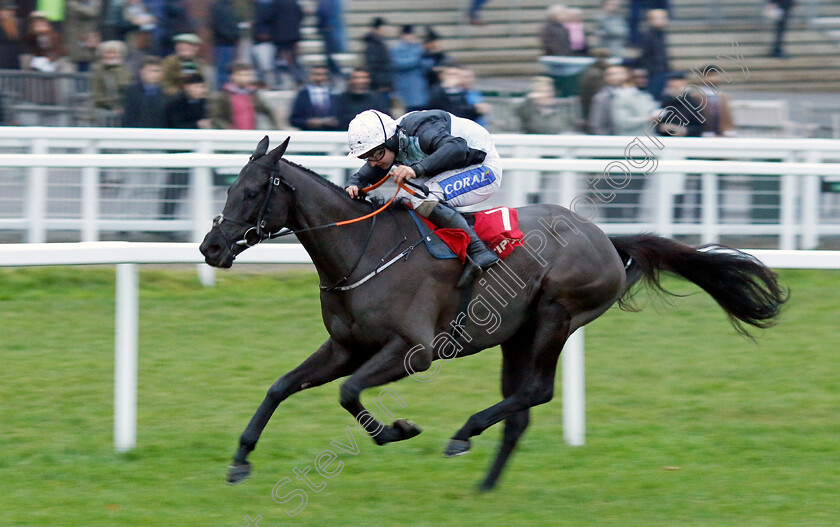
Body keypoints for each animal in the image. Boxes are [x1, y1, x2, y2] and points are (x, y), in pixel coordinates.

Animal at [199, 136, 788, 490]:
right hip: (515, 335)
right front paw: (241, 460)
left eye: (253, 190)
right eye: (228, 186)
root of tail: (604, 237)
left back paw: (464, 433)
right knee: (520, 409)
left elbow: (348, 393)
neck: (364, 250)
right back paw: (485, 485)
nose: (211, 247)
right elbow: (280, 386)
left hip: (555, 316)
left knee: (535, 393)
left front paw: (399, 429)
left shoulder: (412, 351)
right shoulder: (346, 346)